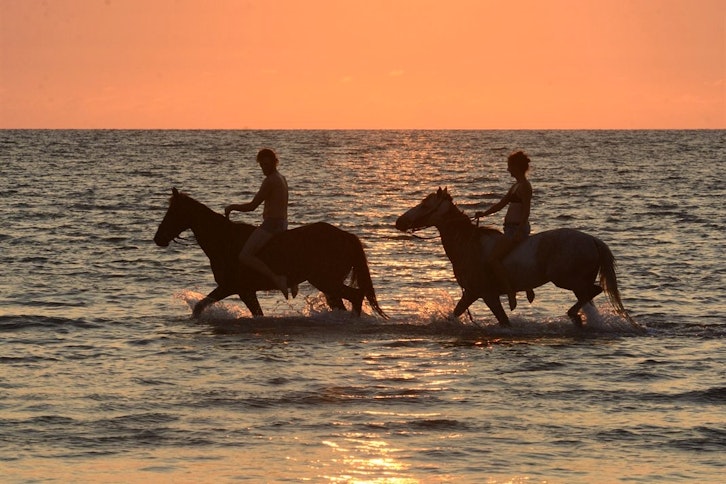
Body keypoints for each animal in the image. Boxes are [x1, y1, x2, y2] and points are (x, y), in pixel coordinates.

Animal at [154, 188, 387, 319]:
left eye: (173, 212)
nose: (158, 238)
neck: (224, 240)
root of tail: (347, 236)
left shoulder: (234, 288)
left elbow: (200, 306)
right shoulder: (245, 291)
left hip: (326, 281)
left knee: (356, 297)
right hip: (329, 284)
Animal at [395, 187, 635, 328]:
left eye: (425, 205)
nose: (399, 222)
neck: (469, 245)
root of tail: (592, 240)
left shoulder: (486, 294)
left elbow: (504, 321)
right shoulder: (472, 293)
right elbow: (456, 312)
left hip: (567, 280)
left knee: (594, 291)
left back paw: (572, 314)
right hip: (576, 283)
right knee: (588, 298)